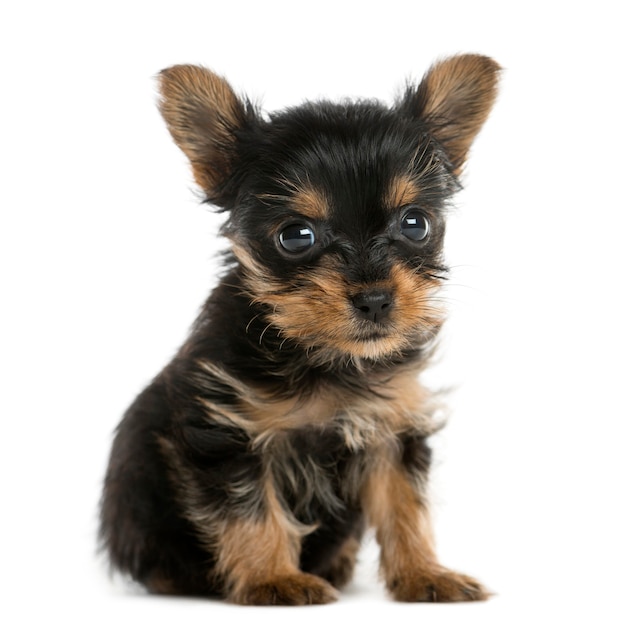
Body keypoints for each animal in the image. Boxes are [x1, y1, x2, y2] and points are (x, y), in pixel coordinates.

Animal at [100, 54, 498, 604]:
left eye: (415, 223)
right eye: (296, 236)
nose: (375, 298)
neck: (324, 354)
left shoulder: (389, 428)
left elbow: (404, 506)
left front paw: (425, 574)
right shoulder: (228, 431)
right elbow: (251, 510)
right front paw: (273, 578)